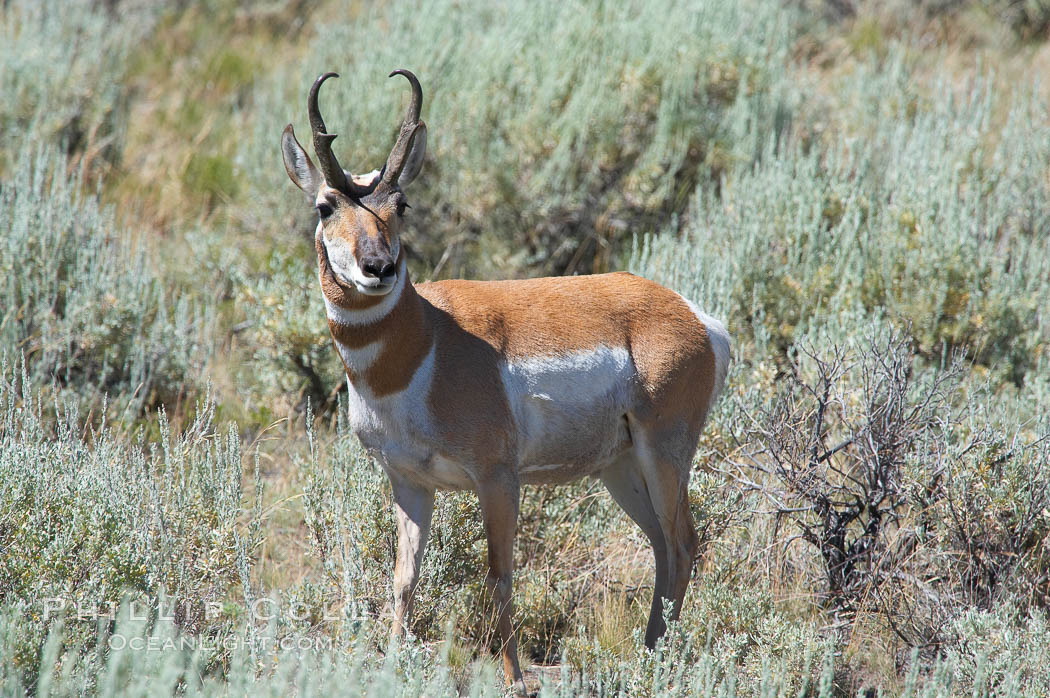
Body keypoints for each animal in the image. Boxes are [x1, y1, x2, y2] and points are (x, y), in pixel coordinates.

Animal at [279, 68, 730, 688]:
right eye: (325, 206)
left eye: (402, 203)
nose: (379, 268)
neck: (426, 342)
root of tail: (693, 315)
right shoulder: (410, 483)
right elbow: (404, 578)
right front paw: (392, 663)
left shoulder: (498, 478)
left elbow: (498, 574)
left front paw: (515, 677)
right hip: (620, 468)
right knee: (663, 544)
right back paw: (648, 652)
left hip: (663, 453)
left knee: (683, 541)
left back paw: (659, 660)